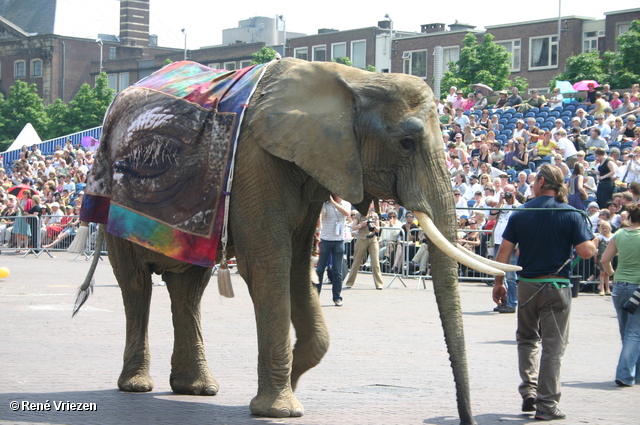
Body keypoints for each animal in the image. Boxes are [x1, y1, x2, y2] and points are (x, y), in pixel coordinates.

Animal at [76, 57, 516, 424]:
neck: (352, 80)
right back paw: (137, 385)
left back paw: (196, 388)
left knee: (188, 289)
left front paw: (297, 372)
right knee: (136, 286)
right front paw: (281, 408)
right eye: (407, 143)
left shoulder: (313, 173)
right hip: (113, 202)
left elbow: (297, 267)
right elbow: (267, 265)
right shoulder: (256, 161)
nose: (466, 418)